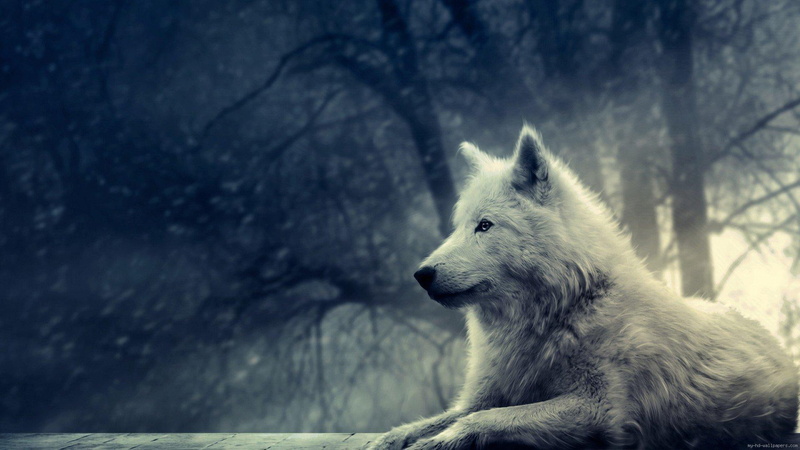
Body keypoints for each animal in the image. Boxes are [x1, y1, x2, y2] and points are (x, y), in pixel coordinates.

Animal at [370, 127, 798, 449]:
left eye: (485, 225)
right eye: (458, 226)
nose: (421, 274)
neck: (566, 308)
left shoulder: (598, 409)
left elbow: (485, 419)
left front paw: (438, 441)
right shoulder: (483, 394)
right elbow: (435, 420)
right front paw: (391, 438)